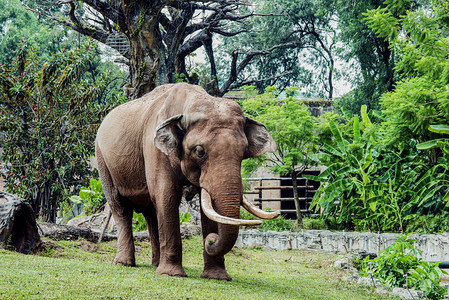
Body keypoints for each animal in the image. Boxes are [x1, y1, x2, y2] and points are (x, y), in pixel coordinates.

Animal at [96, 82, 278, 282]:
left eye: (244, 152)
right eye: (199, 151)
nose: (211, 239)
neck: (191, 102)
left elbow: (205, 207)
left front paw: (216, 277)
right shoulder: (154, 147)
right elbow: (167, 196)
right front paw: (171, 274)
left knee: (150, 211)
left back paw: (155, 264)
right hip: (102, 160)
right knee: (120, 207)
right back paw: (124, 263)